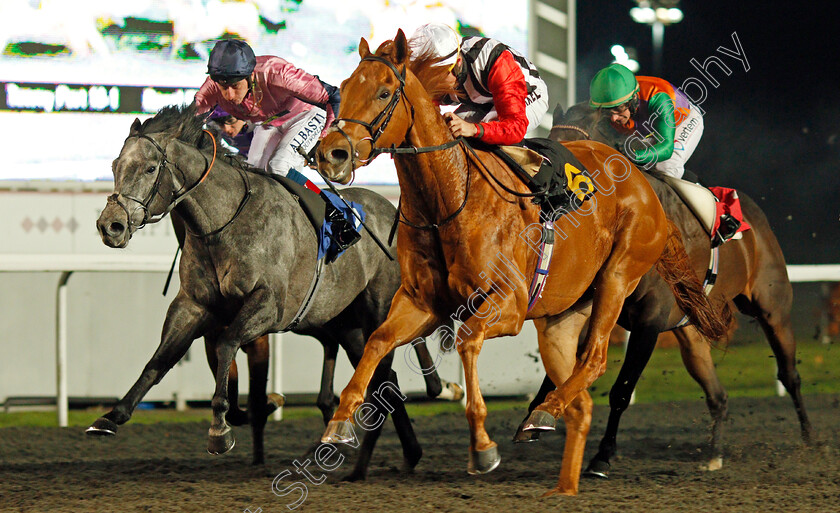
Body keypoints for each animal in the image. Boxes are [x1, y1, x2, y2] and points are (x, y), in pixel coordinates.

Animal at [86, 102, 440, 478]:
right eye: (115, 166)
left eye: (151, 167)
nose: (111, 226)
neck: (222, 223)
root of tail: (394, 211)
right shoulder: (193, 305)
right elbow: (159, 361)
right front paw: (111, 416)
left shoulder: (268, 305)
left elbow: (228, 346)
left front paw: (221, 429)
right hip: (348, 325)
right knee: (384, 379)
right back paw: (397, 454)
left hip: (378, 311)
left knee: (383, 380)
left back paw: (363, 460)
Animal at [314, 29, 728, 496]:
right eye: (344, 88)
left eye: (384, 92)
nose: (331, 153)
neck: (449, 198)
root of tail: (646, 185)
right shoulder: (421, 302)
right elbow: (377, 341)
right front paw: (339, 425)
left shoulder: (508, 305)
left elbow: (467, 340)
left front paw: (482, 446)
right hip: (561, 317)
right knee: (582, 403)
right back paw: (558, 464)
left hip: (618, 279)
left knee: (596, 359)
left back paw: (545, 415)